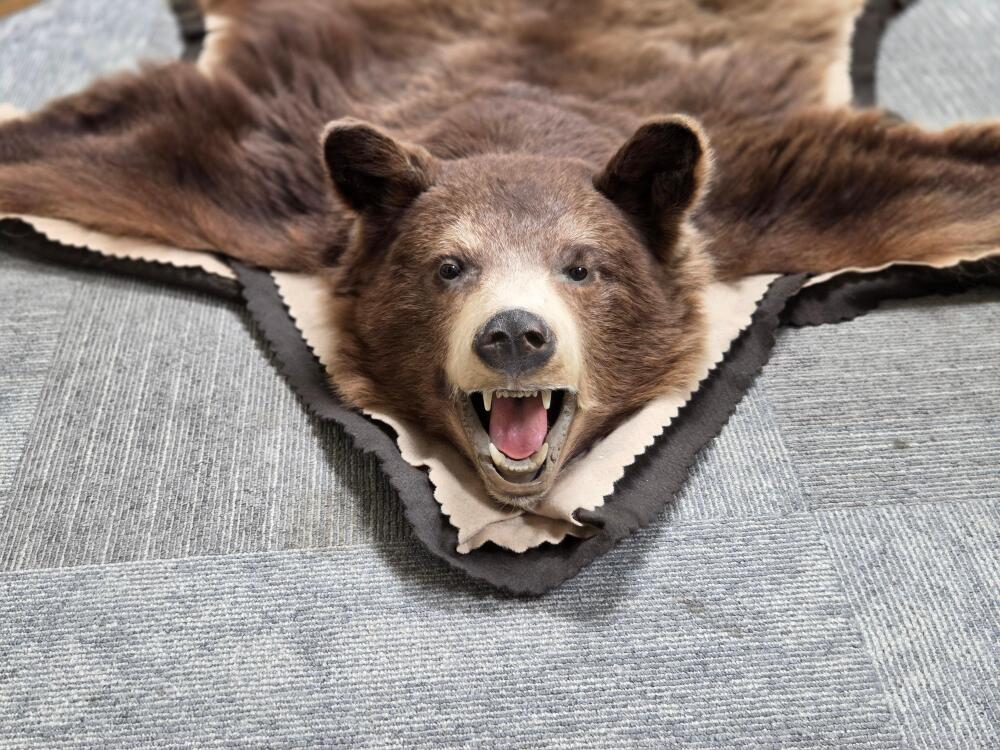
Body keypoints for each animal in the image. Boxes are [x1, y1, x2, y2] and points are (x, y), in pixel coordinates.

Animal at [1, 0, 998, 509]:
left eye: (583, 265)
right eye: (449, 266)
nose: (515, 335)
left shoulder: (754, 189)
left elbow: (908, 192)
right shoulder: (275, 181)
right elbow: (127, 152)